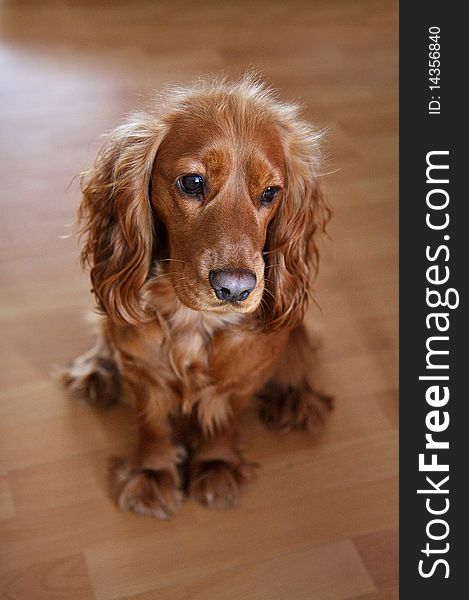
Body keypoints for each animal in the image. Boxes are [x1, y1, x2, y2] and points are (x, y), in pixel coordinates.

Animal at [62, 72, 330, 516]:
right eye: (193, 182)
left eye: (271, 192)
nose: (235, 287)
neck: (192, 319)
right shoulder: (141, 368)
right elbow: (152, 424)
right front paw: (152, 475)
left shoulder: (242, 375)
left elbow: (224, 419)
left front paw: (217, 467)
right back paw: (95, 370)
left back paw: (296, 397)